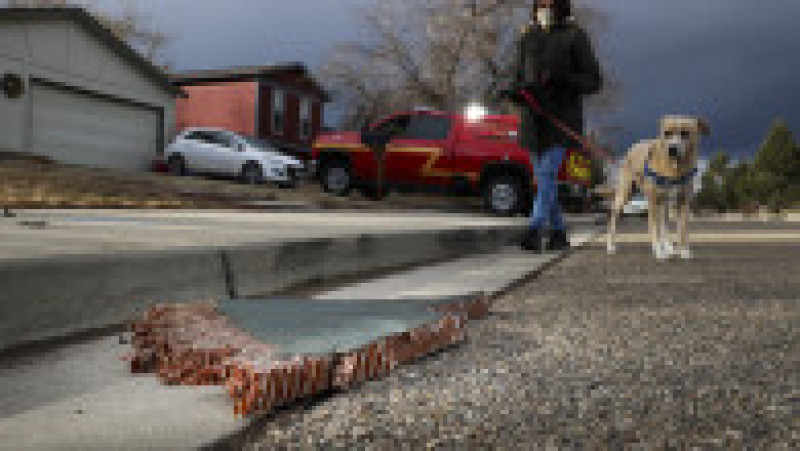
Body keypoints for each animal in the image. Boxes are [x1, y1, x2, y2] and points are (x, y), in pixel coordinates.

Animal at [608, 115, 708, 260]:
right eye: (667, 133)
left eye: (685, 133)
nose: (672, 148)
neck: (674, 169)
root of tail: (635, 145)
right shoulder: (653, 201)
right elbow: (655, 229)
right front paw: (659, 251)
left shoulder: (683, 201)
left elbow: (682, 229)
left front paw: (683, 250)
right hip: (624, 195)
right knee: (614, 219)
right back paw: (610, 246)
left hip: (664, 202)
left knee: (664, 223)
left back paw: (669, 247)